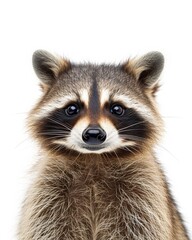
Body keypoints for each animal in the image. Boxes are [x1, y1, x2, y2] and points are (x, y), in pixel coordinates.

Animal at [18, 49, 189, 239]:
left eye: (117, 109)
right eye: (72, 109)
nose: (93, 134)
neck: (94, 159)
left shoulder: (144, 195)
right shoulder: (47, 193)